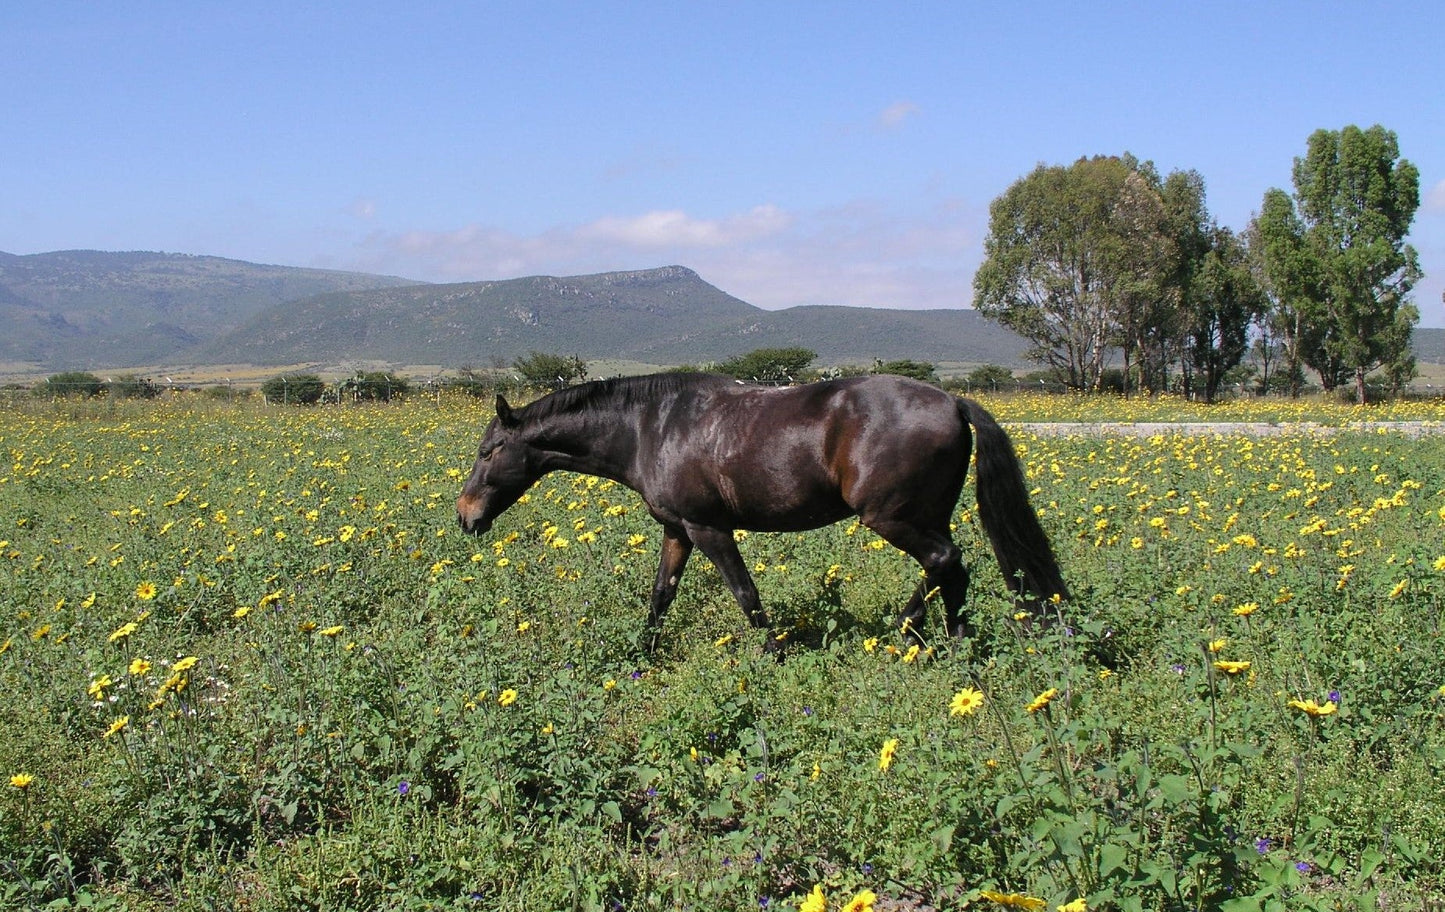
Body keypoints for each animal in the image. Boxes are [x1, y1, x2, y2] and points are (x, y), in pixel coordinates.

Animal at [456, 372, 1067, 653]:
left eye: (489, 451)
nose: (465, 516)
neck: (649, 427)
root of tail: (953, 401)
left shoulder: (709, 528)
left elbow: (745, 594)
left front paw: (773, 652)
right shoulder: (677, 530)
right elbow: (661, 595)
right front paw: (641, 652)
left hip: (890, 518)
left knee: (944, 562)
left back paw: (905, 629)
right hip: (923, 516)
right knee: (952, 570)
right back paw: (953, 642)